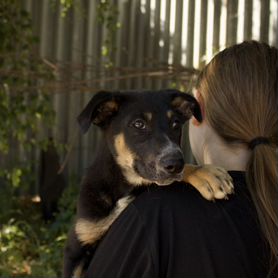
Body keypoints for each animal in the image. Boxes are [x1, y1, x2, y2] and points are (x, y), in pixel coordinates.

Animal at [62, 89, 232, 278]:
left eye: (175, 124)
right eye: (138, 124)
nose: (176, 163)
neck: (124, 186)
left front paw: (201, 172)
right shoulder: (76, 249)